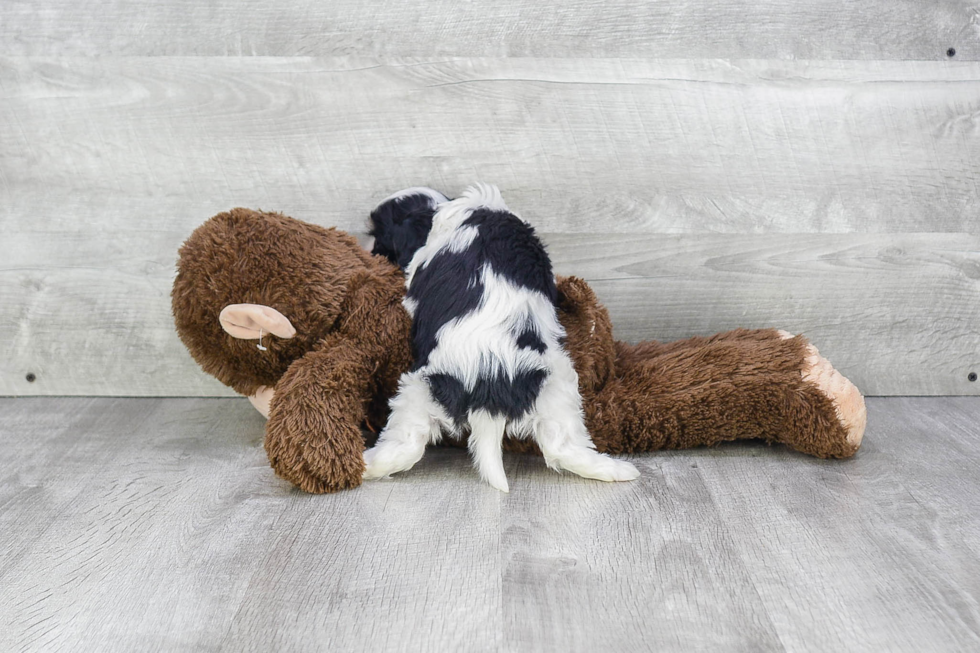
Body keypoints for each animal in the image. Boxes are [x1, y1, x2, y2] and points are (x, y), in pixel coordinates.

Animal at [364, 183, 640, 488]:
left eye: (377, 236)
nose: (368, 250)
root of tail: (489, 388)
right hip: (555, 387)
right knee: (563, 445)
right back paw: (617, 470)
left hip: (417, 388)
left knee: (405, 443)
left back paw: (363, 466)